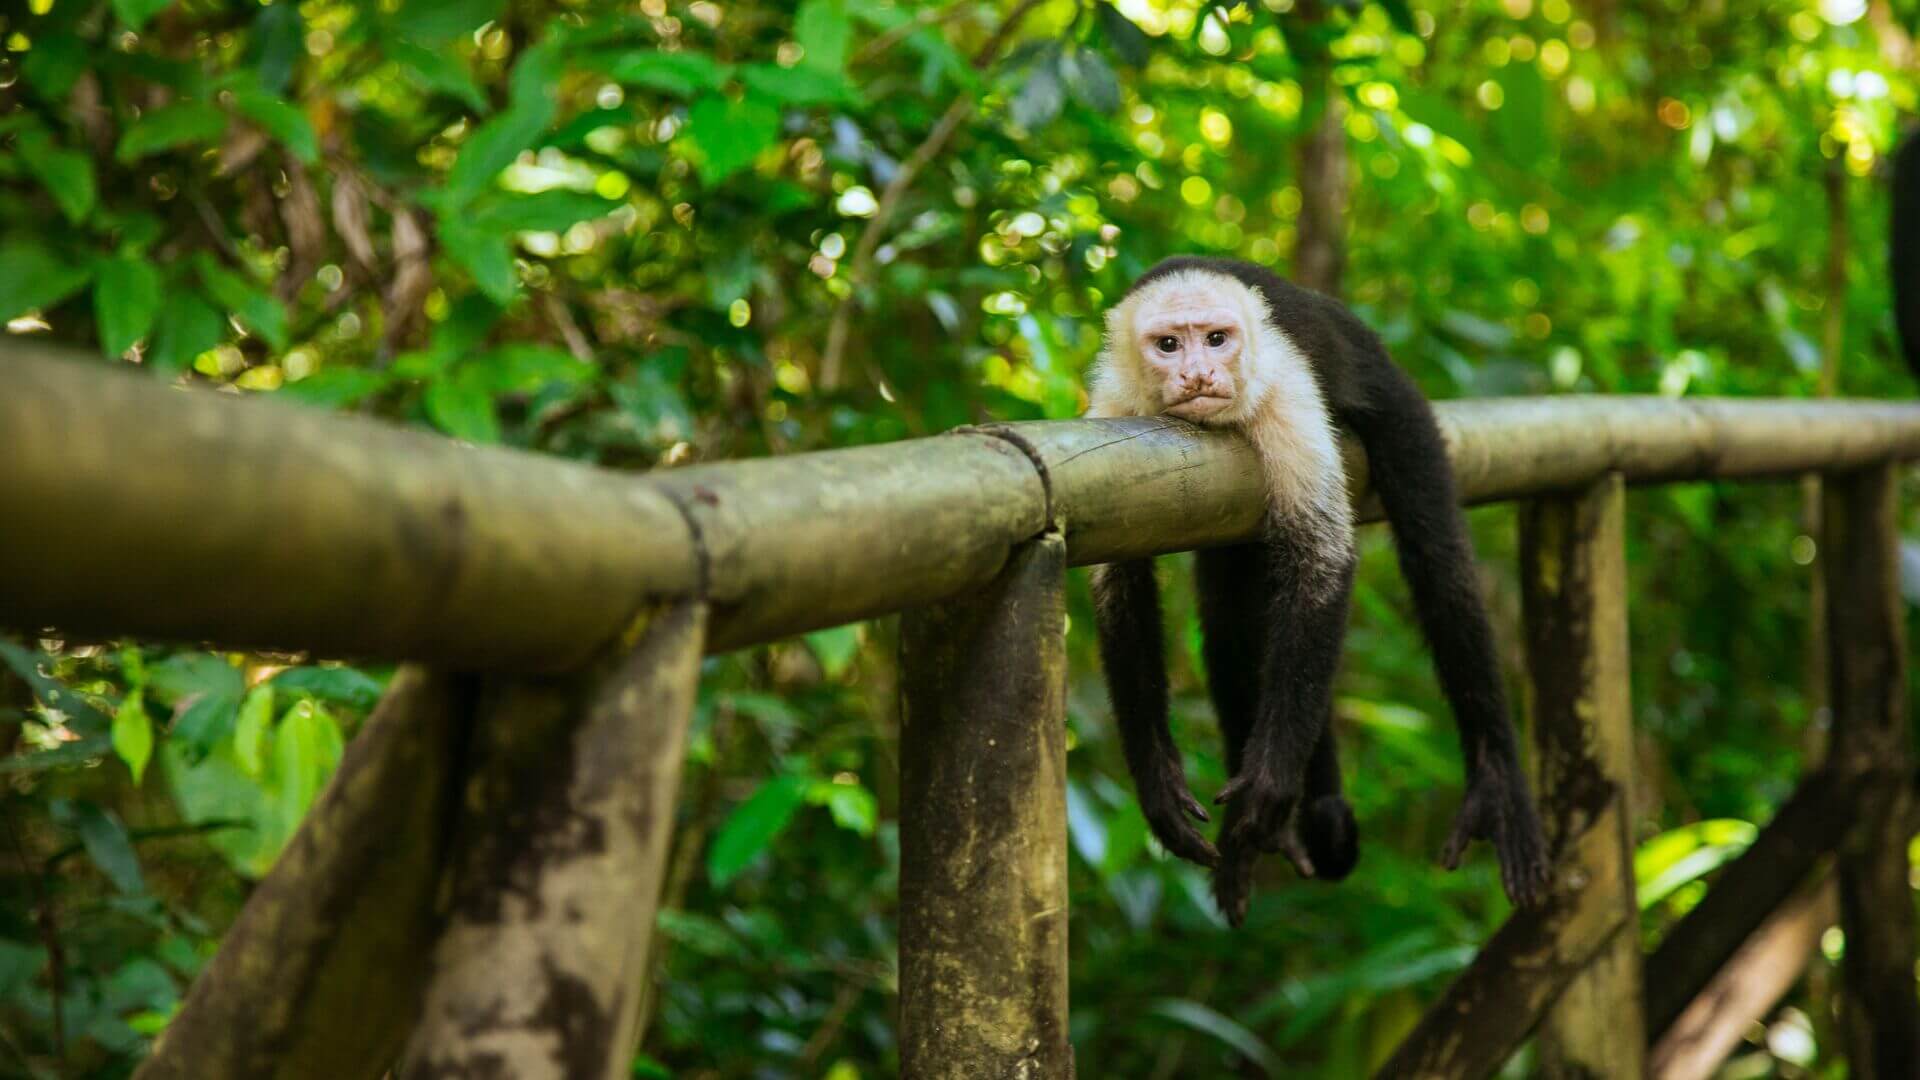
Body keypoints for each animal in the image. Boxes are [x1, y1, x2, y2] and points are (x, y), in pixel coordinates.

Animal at [1090, 255, 1551, 922]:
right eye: (1168, 345)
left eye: (1217, 339)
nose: (1199, 374)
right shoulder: (1114, 406)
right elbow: (1121, 587)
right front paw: (1157, 781)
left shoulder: (1286, 390)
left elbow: (1322, 560)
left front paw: (1273, 779)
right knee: (1228, 617)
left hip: (1400, 407)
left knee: (1442, 569)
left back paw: (1496, 784)